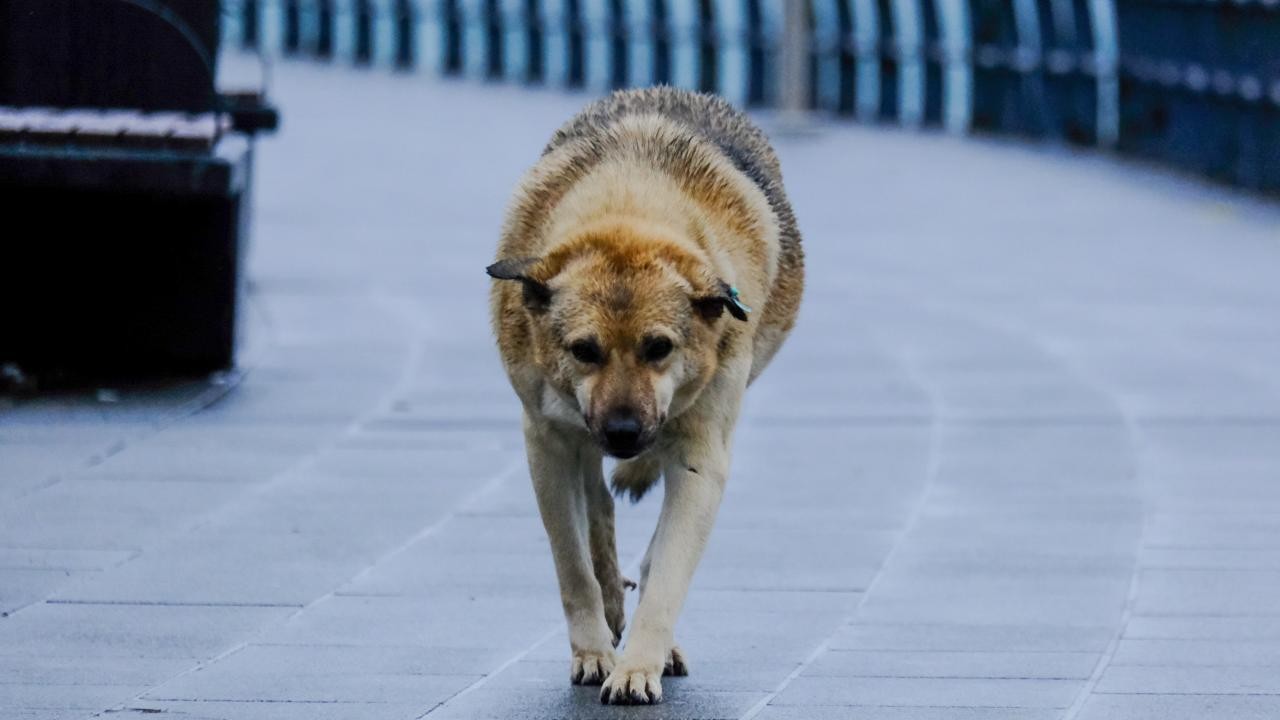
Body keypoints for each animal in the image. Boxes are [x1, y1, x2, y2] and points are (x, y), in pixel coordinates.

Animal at [488, 83, 798, 702]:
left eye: (660, 347)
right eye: (584, 350)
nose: (625, 431)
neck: (629, 211)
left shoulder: (703, 449)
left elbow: (669, 571)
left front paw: (638, 666)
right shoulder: (546, 441)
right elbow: (572, 563)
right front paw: (593, 652)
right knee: (596, 502)